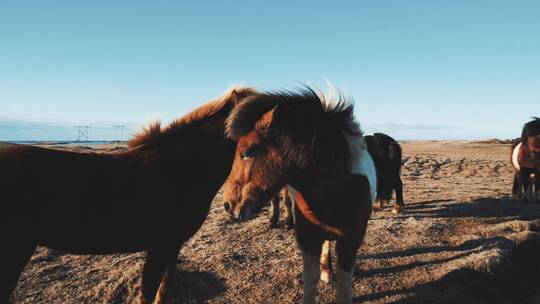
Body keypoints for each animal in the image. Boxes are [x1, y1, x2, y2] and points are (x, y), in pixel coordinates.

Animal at [0, 86, 258, 304]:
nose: (237, 206)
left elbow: (162, 291)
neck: (178, 168)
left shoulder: (173, 246)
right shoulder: (159, 247)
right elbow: (147, 293)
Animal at [221, 87, 378, 304]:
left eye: (246, 153)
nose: (228, 204)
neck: (335, 190)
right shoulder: (307, 237)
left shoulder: (352, 239)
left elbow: (345, 285)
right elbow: (310, 278)